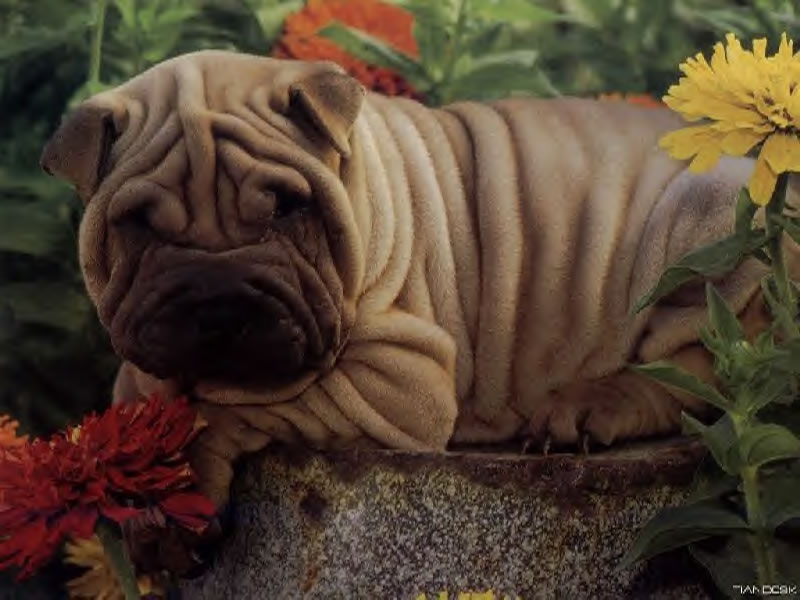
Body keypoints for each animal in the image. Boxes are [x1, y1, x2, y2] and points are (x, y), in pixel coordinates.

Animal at [39, 51, 800, 528]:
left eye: (287, 207)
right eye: (137, 226)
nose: (218, 291)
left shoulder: (397, 374)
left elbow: (241, 405)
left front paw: (188, 468)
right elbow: (139, 396)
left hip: (711, 223)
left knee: (706, 376)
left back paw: (587, 406)